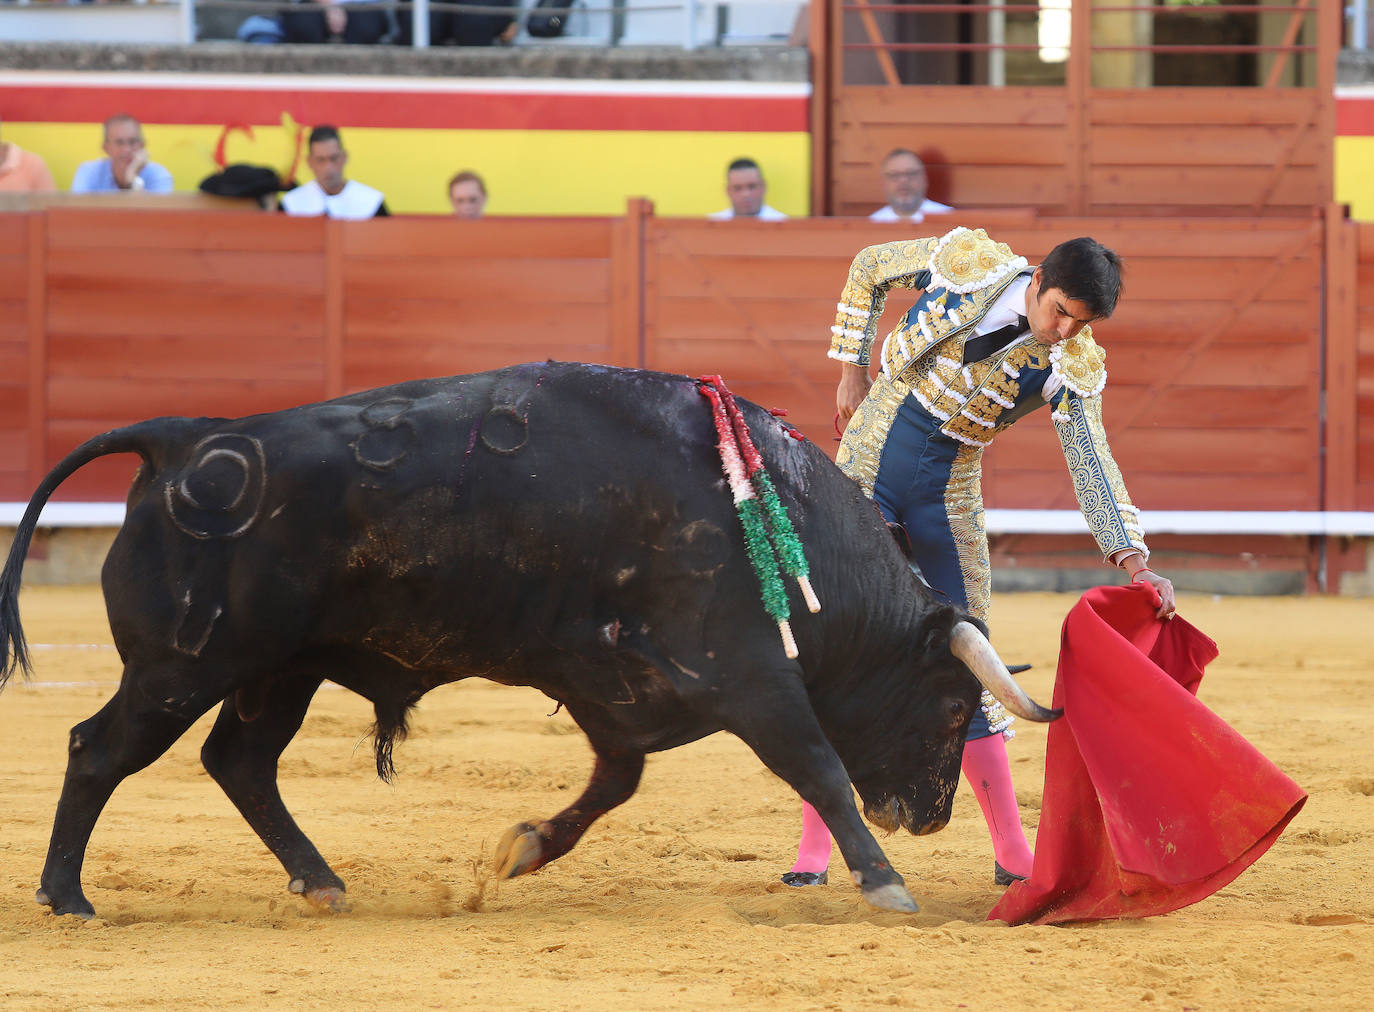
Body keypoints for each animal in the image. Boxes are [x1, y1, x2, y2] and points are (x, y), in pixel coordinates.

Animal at [0, 362, 1055, 917]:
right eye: (953, 707)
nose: (928, 819)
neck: (770, 512)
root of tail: (185, 439)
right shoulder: (751, 676)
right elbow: (820, 766)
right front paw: (886, 882)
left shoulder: (619, 696)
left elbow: (613, 786)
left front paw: (522, 850)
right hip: (181, 666)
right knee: (99, 749)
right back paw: (66, 895)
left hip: (275, 671)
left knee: (240, 761)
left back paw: (322, 880)